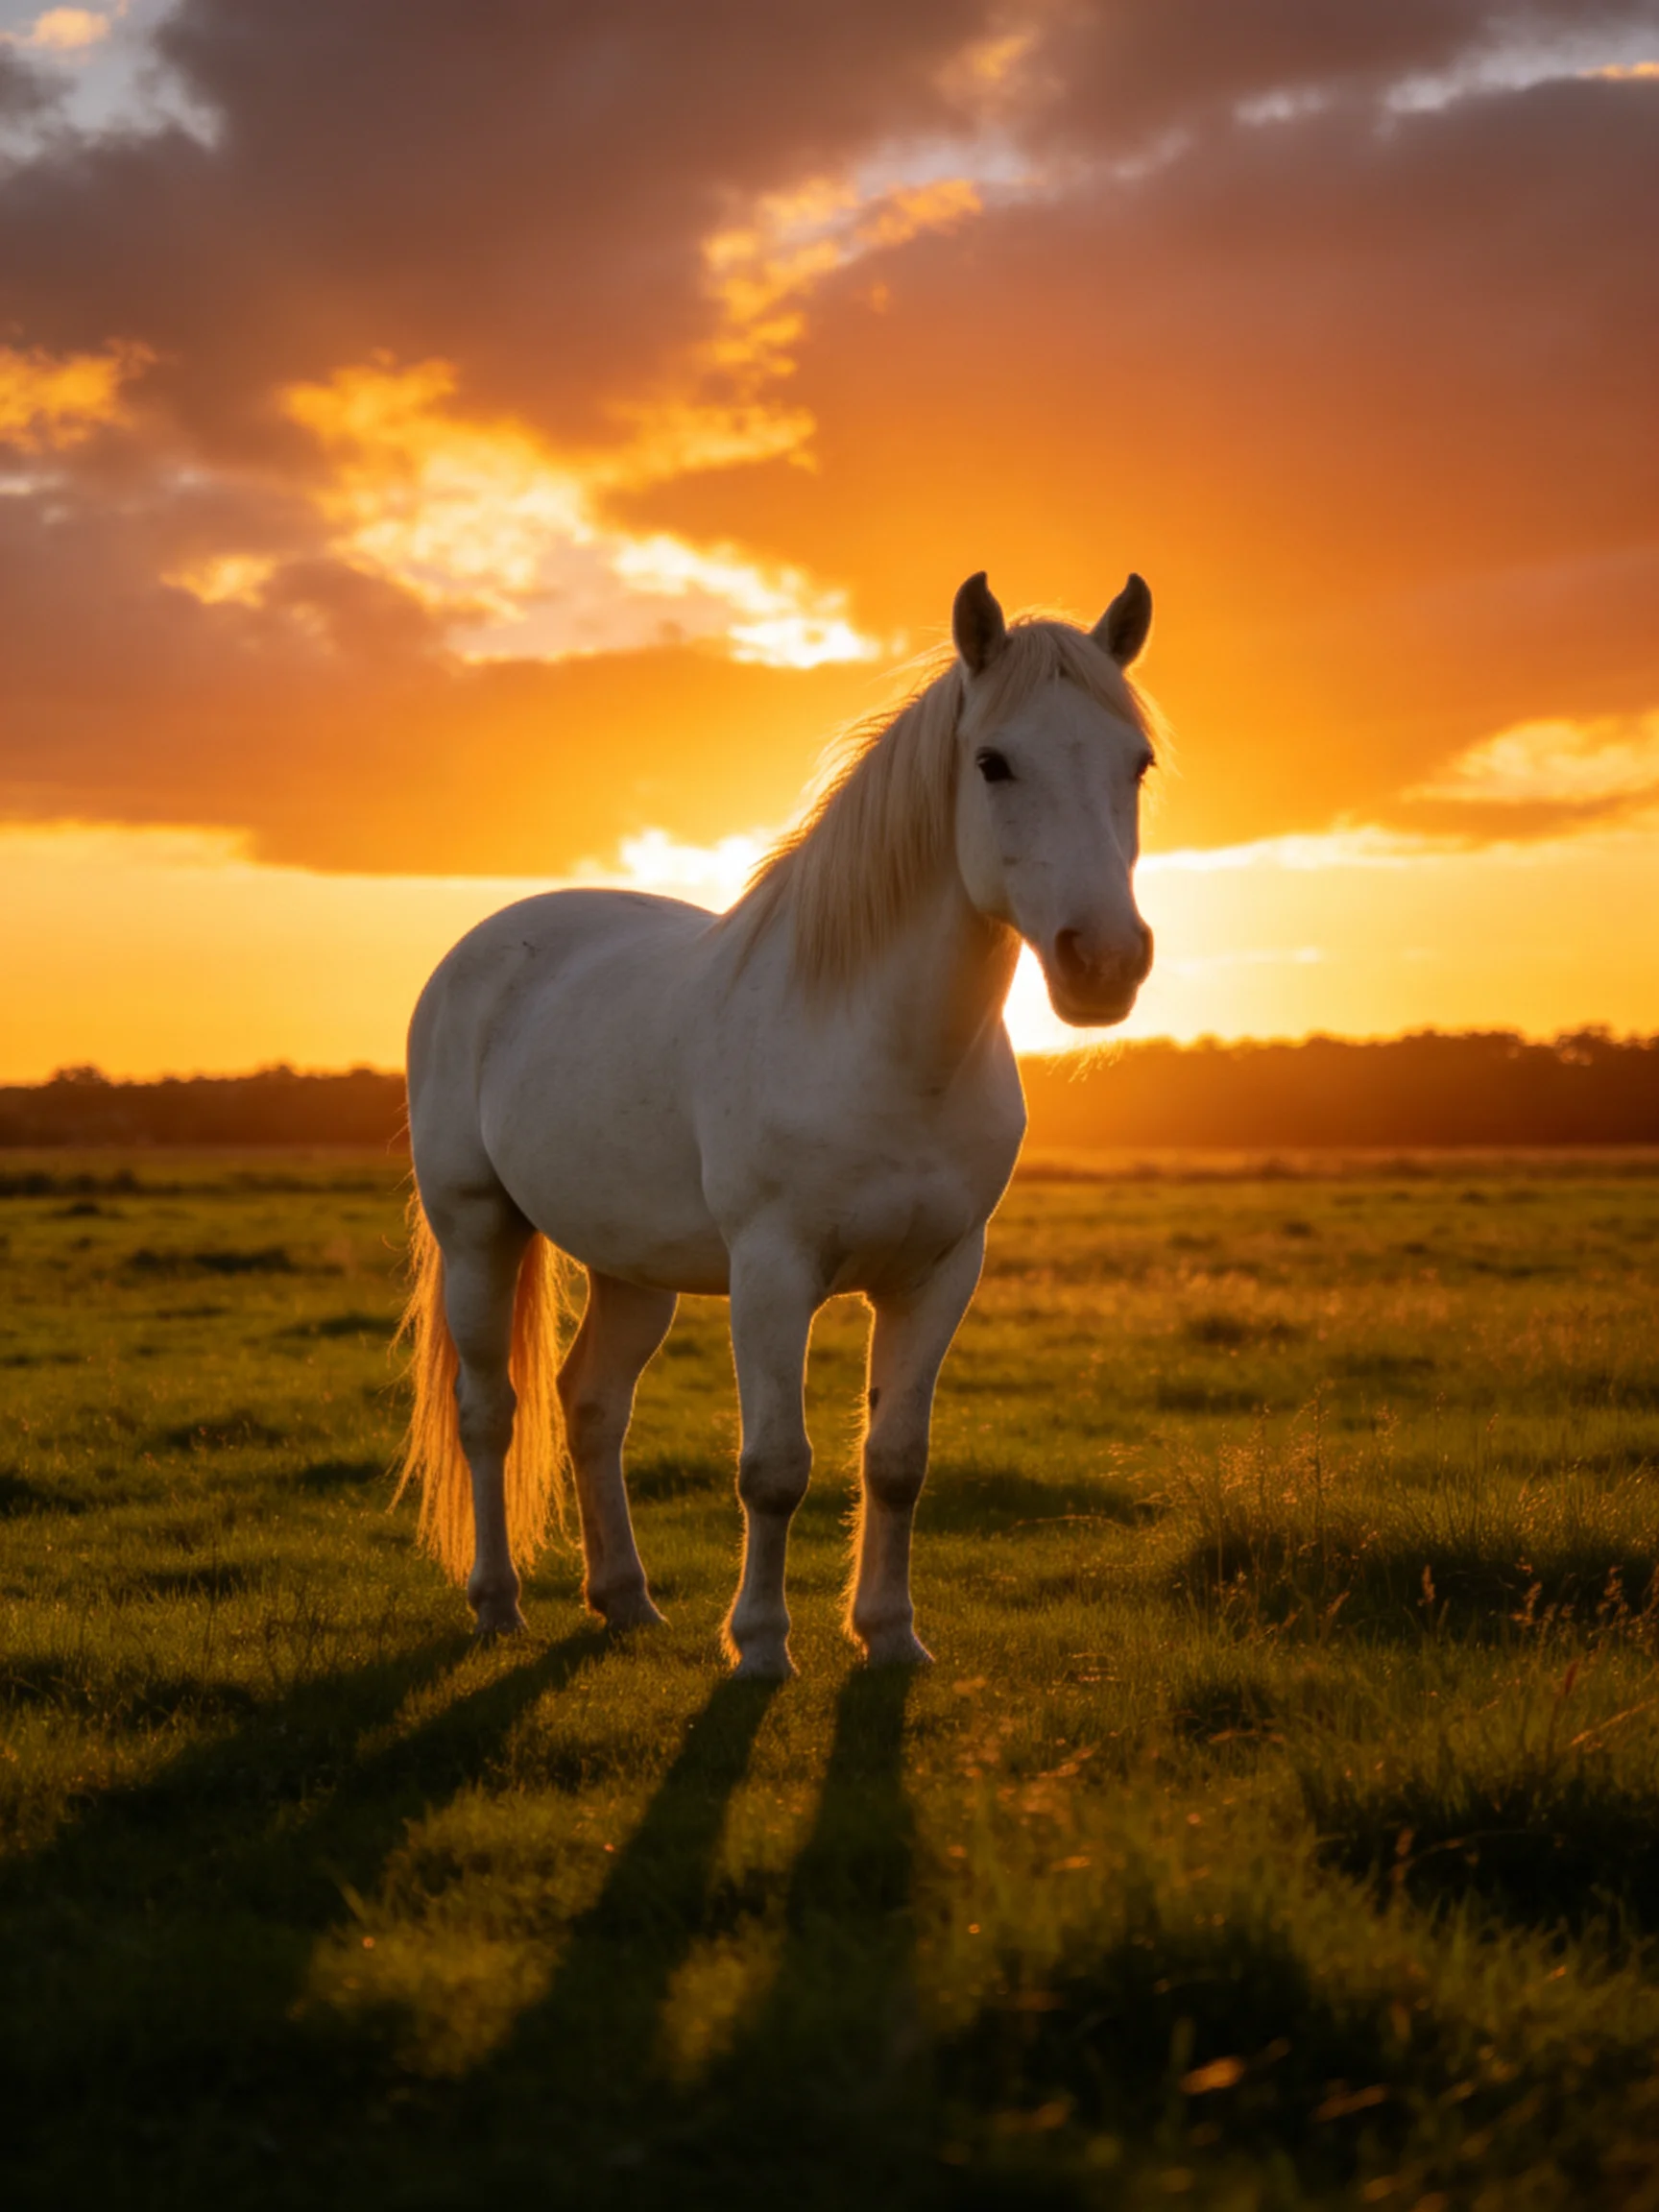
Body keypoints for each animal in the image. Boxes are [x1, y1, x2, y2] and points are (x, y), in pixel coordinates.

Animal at [395, 569, 1159, 1677]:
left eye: (1136, 762)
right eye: (993, 762)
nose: (1104, 961)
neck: (884, 1051)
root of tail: (483, 946)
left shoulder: (940, 1274)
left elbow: (895, 1460)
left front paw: (890, 1633)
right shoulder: (771, 1274)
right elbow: (774, 1467)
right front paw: (759, 1643)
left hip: (633, 1267)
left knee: (592, 1405)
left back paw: (625, 1600)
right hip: (478, 1232)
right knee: (490, 1412)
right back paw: (497, 1603)